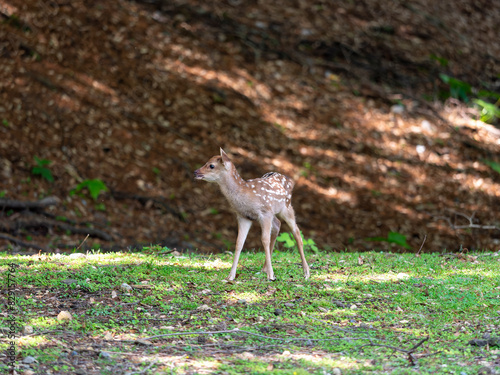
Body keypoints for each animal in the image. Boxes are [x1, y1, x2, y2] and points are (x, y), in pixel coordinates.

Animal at [194, 148, 308, 280]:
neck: (246, 195)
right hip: (275, 213)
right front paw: (231, 276)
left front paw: (271, 275)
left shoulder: (265, 213)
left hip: (286, 207)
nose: (195, 172)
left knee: (296, 232)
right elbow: (239, 243)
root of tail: (290, 180)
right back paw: (264, 268)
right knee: (278, 225)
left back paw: (306, 272)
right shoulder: (243, 216)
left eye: (211, 165)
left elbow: (264, 239)